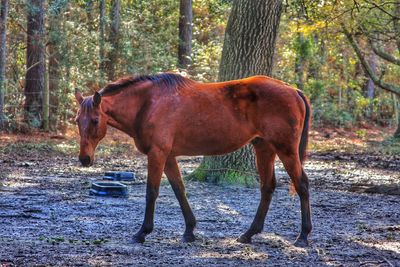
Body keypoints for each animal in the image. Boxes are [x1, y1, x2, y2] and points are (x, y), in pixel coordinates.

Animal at [75, 72, 312, 248]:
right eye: (77, 120)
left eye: (95, 120)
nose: (85, 159)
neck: (148, 103)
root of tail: (294, 90)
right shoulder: (169, 157)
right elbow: (179, 190)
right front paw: (189, 230)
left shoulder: (157, 154)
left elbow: (152, 192)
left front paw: (142, 232)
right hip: (264, 148)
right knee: (267, 187)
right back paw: (249, 234)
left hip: (286, 150)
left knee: (301, 185)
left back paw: (303, 236)